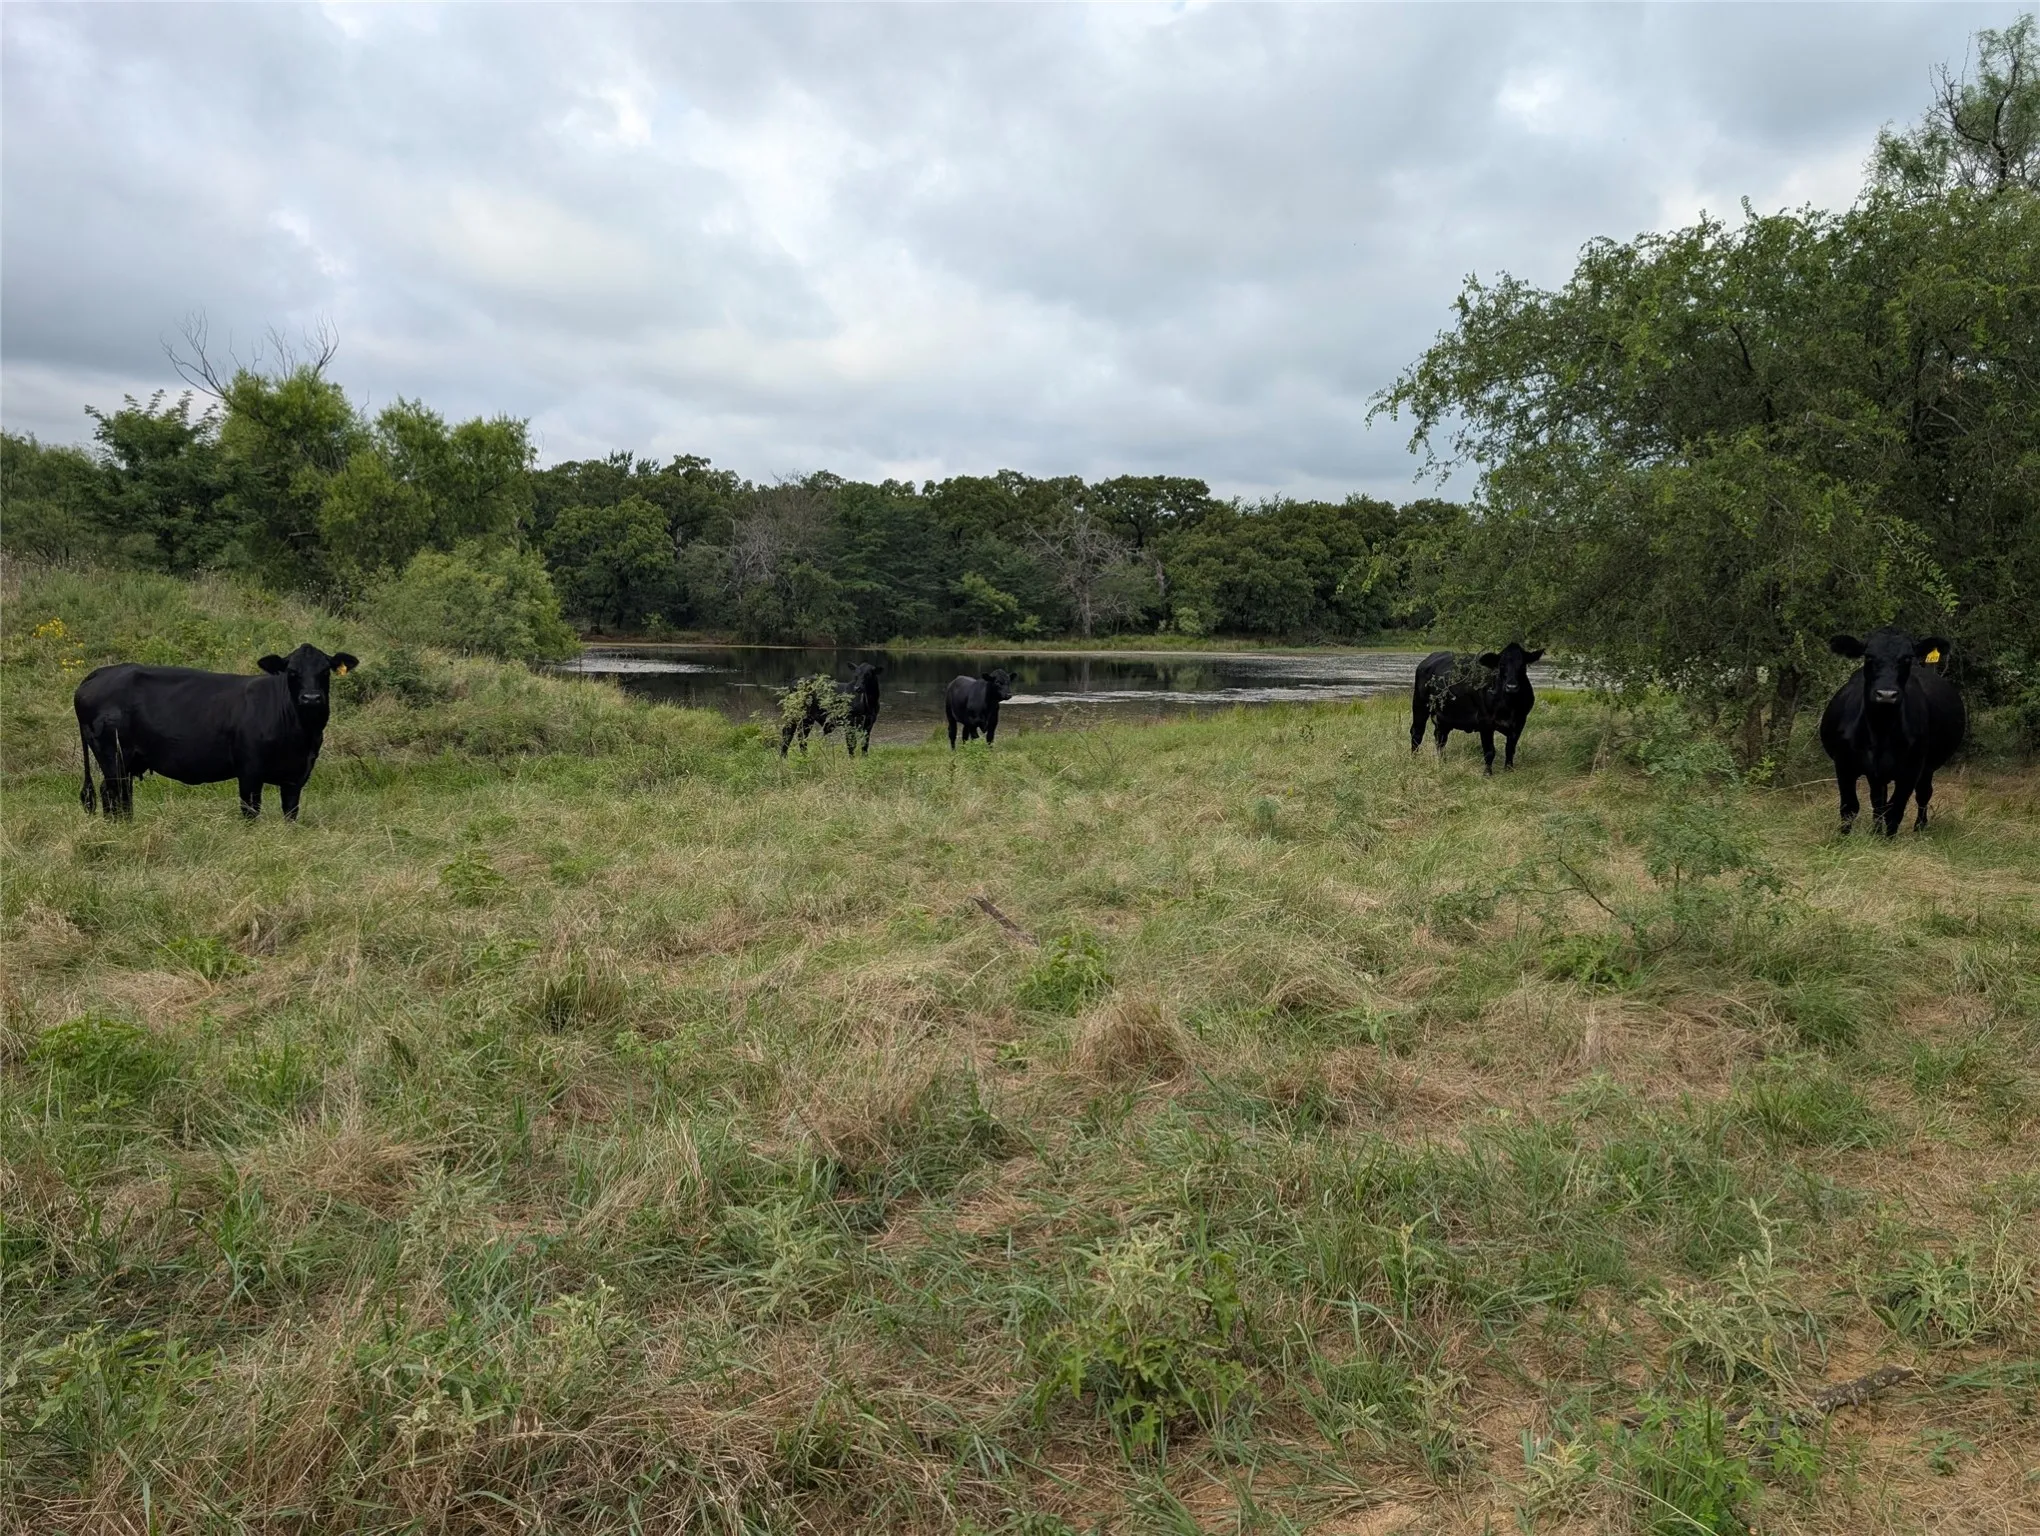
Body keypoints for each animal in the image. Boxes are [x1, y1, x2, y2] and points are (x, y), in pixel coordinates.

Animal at [74, 643, 359, 821]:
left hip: (127, 761)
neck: (300, 734)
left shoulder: (296, 776)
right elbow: (250, 811)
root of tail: (101, 672)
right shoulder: (249, 772)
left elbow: (291, 813)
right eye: (292, 672)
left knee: (118, 795)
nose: (311, 698)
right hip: (113, 755)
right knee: (113, 793)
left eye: (325, 670)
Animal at [1410, 642, 1544, 773]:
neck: (1509, 705)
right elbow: (1489, 750)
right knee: (1417, 733)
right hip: (1420, 704)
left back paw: (1443, 762)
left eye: (1522, 665)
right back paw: (1414, 760)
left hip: (1444, 716)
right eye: (1501, 664)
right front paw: (1487, 773)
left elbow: (1510, 748)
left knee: (1440, 737)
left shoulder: (1520, 721)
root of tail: (1428, 660)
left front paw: (1509, 769)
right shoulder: (1485, 721)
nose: (1511, 687)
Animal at [1818, 627, 1964, 836]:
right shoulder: (1844, 765)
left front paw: (1887, 839)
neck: (1881, 731)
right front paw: (1843, 838)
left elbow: (1895, 810)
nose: (1886, 694)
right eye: (1869, 656)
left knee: (1923, 794)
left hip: (1927, 767)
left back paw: (1919, 828)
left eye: (1907, 658)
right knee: (1878, 801)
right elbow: (1850, 807)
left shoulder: (1911, 771)